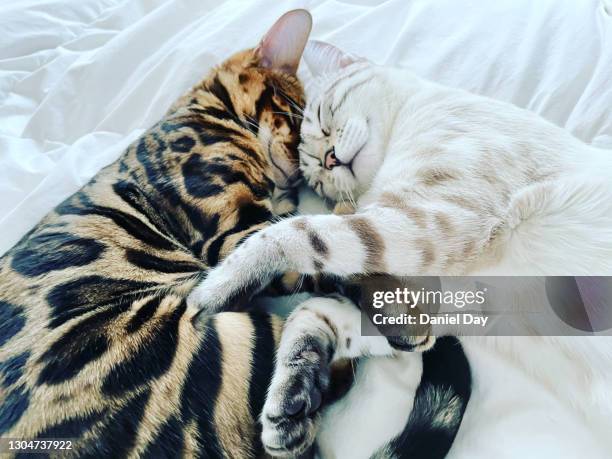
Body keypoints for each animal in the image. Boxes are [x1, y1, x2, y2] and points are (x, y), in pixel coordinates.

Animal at [0, 10, 314, 459]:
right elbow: (308, 237)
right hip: (231, 337)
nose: (303, 172)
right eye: (294, 116)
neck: (204, 111)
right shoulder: (237, 231)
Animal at [189, 41, 612, 458]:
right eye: (318, 178)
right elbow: (317, 313)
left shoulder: (431, 222)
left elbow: (289, 233)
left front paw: (215, 286)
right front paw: (291, 400)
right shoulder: (440, 305)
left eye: (326, 117)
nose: (329, 159)